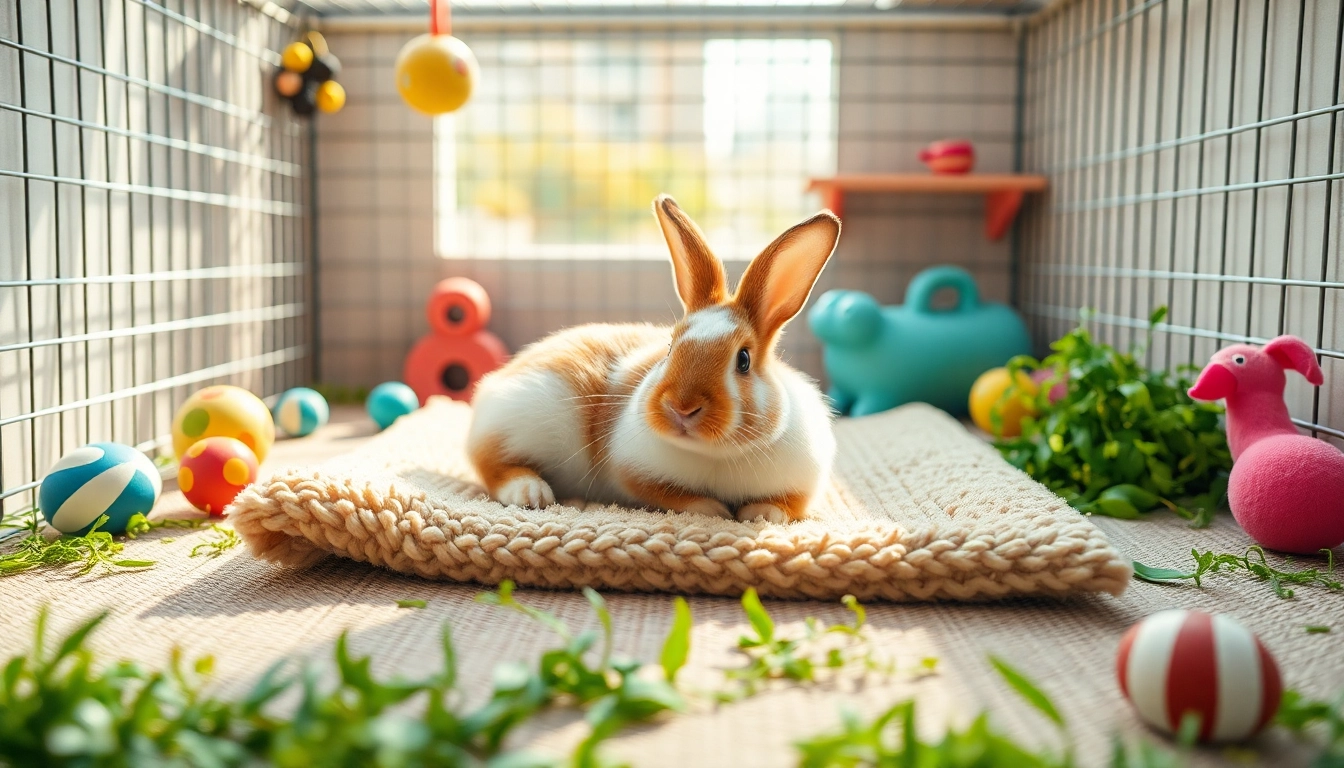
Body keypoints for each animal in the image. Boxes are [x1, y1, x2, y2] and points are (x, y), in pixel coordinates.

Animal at [465, 194, 841, 524]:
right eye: (671, 347)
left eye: (744, 360)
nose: (681, 408)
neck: (716, 455)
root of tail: (492, 388)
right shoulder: (631, 470)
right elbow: (672, 495)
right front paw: (714, 510)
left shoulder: (805, 484)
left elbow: (787, 505)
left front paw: (761, 514)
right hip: (526, 418)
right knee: (491, 463)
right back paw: (531, 492)